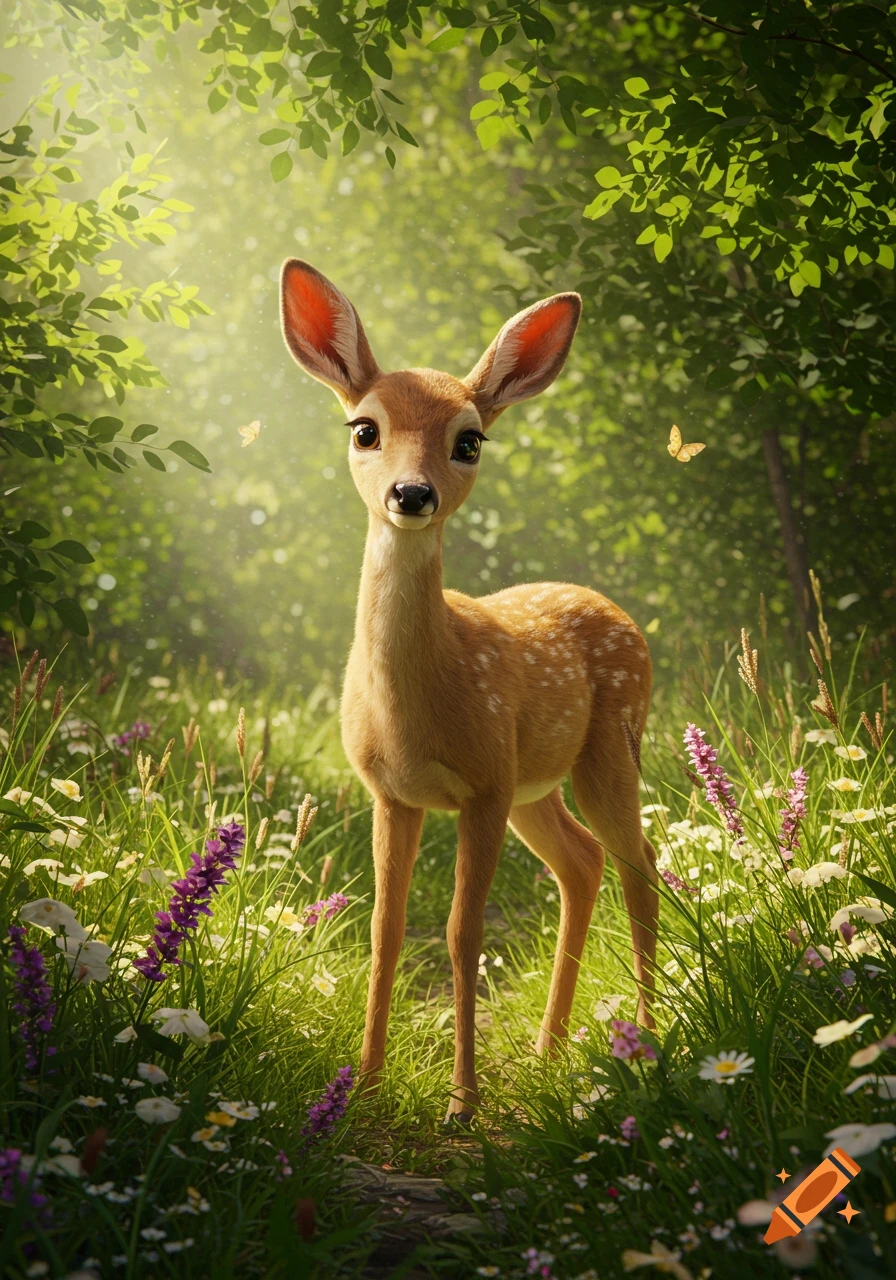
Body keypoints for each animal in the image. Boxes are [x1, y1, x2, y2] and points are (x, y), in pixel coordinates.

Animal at [280, 259, 659, 1123]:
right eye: (364, 429)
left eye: (469, 439)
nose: (411, 494)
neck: (420, 704)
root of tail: (617, 609)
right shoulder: (393, 792)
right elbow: (386, 927)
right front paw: (364, 1084)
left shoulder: (482, 785)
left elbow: (461, 931)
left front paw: (463, 1100)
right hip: (535, 789)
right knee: (583, 863)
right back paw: (550, 1050)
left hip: (607, 751)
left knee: (641, 861)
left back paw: (652, 1042)